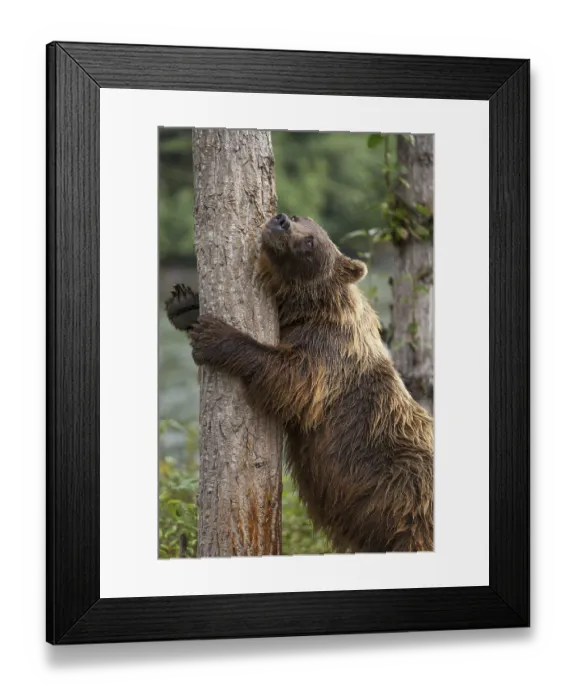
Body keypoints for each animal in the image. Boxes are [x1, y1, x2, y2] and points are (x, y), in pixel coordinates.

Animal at [165, 213, 434, 553]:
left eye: (310, 241)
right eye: (299, 218)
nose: (281, 221)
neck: (305, 307)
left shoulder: (329, 352)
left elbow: (295, 379)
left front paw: (215, 335)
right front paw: (185, 304)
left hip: (406, 501)